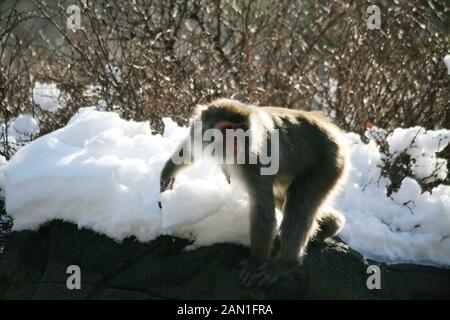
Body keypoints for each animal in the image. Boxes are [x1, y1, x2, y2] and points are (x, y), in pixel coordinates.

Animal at [159, 98, 348, 288]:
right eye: (228, 129)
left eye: (241, 130)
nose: (237, 142)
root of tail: (332, 130)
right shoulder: (197, 130)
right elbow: (189, 150)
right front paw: (168, 173)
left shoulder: (254, 161)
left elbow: (263, 212)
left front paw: (255, 262)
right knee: (285, 201)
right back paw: (329, 226)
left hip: (328, 165)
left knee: (299, 207)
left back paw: (286, 263)